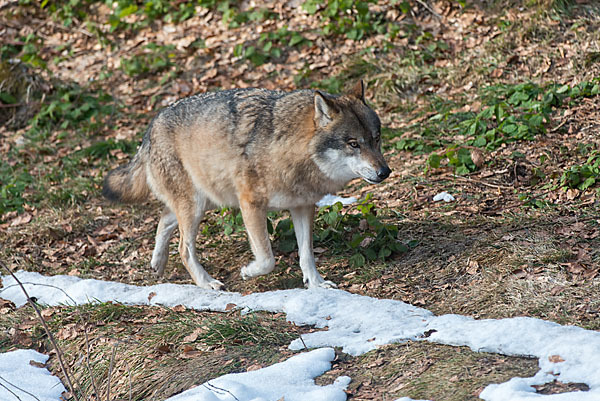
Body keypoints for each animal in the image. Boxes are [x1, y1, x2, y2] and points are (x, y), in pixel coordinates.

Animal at [102, 80, 394, 288]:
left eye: (376, 138)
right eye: (354, 144)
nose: (385, 172)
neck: (289, 149)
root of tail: (150, 127)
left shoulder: (302, 206)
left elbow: (306, 254)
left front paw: (317, 284)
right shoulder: (250, 205)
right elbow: (267, 259)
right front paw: (248, 271)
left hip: (204, 202)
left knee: (163, 220)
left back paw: (157, 264)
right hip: (196, 206)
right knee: (184, 248)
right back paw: (207, 283)